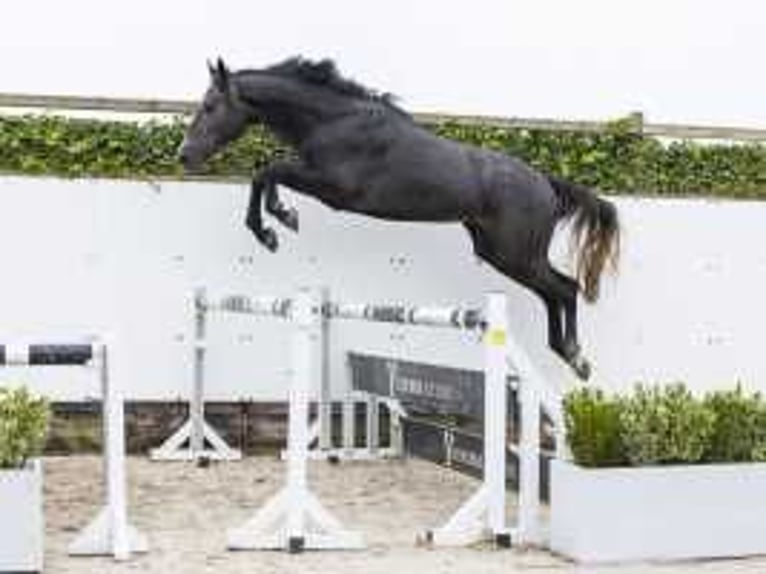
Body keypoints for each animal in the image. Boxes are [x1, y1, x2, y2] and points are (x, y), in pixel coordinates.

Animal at [182, 57, 624, 382]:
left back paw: (575, 356)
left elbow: (268, 171)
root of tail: (546, 183)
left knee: (565, 288)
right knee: (556, 291)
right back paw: (566, 353)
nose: (183, 155)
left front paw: (275, 225)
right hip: (500, 253)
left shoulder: (334, 189)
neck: (332, 120)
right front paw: (278, 221)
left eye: (210, 107)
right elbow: (267, 173)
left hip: (516, 254)